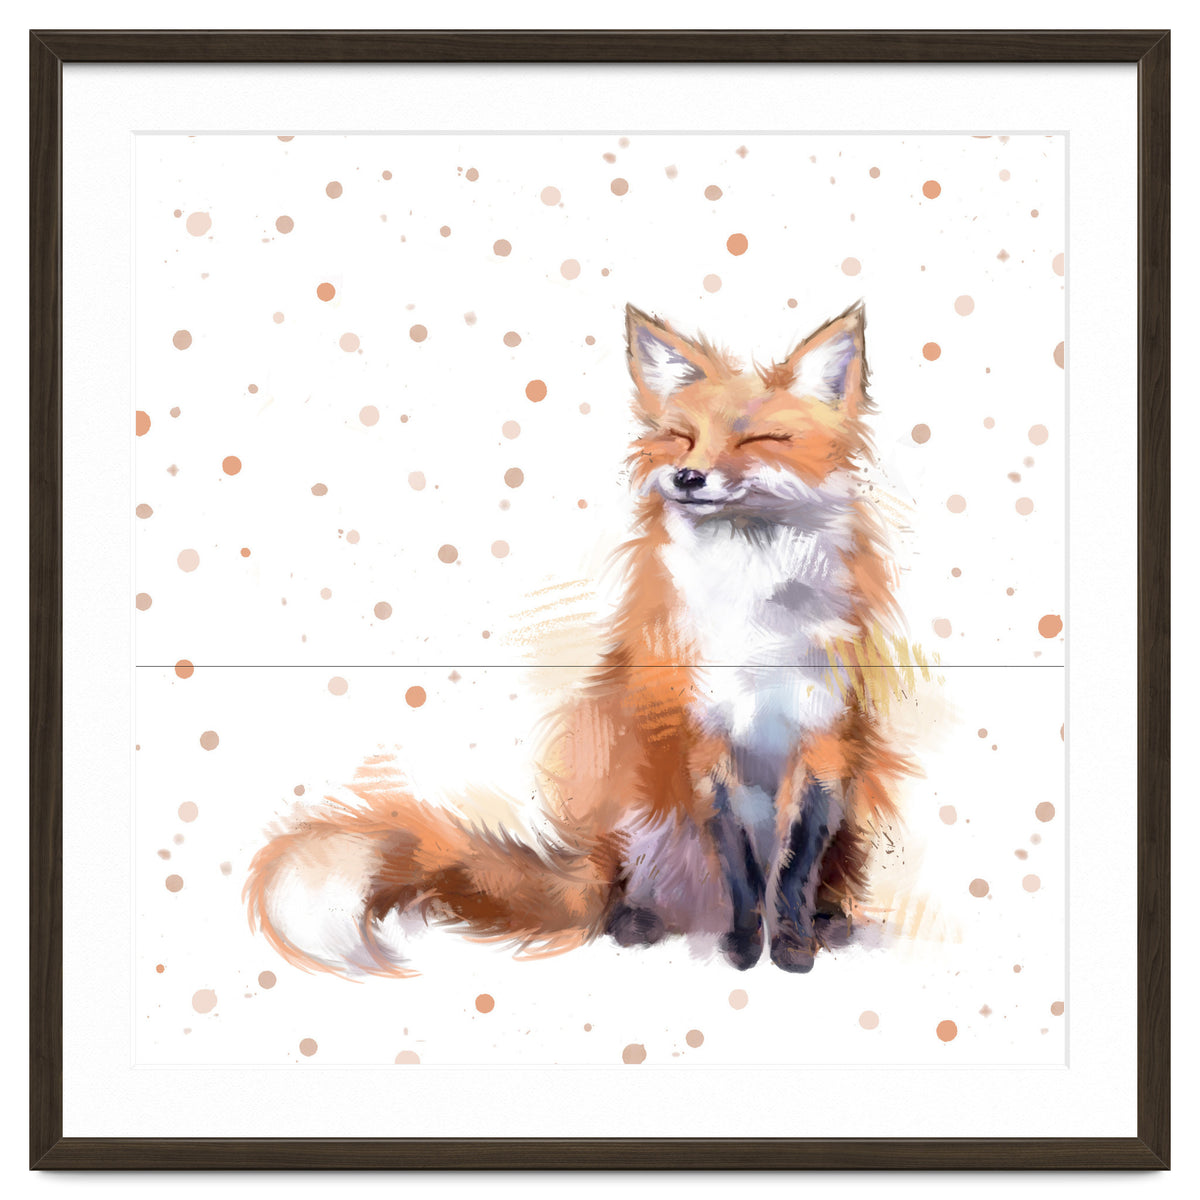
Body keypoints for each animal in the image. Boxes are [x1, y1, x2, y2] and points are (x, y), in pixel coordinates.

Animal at [246, 301, 915, 975]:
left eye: (759, 440)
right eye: (681, 436)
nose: (687, 476)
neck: (754, 620)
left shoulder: (826, 742)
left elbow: (795, 868)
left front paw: (795, 946)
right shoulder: (704, 743)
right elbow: (743, 869)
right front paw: (746, 949)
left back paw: (829, 923)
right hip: (628, 794)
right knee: (621, 890)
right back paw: (639, 921)